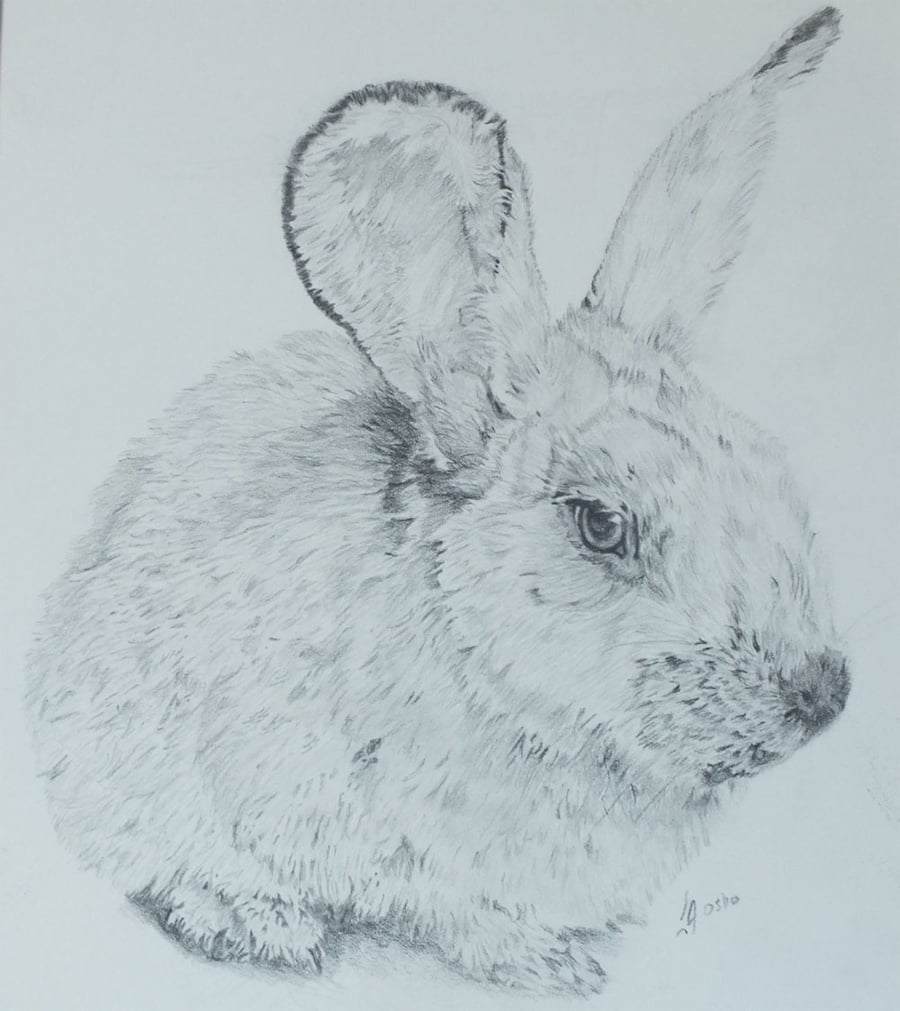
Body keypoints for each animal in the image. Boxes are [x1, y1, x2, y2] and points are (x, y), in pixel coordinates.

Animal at [26, 6, 849, 997]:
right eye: (601, 524)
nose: (825, 694)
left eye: (773, 473)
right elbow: (453, 910)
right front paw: (547, 965)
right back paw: (255, 921)